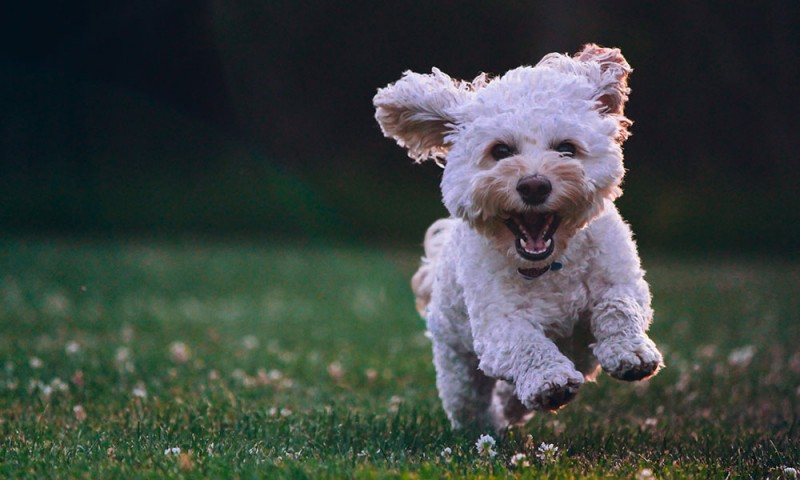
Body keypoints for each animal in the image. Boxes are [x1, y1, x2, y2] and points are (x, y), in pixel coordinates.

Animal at [374, 43, 664, 430]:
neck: (551, 266)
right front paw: (549, 381)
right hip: (456, 361)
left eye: (567, 149)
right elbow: (526, 343)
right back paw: (489, 424)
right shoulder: (498, 324)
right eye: (500, 151)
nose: (534, 185)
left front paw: (631, 352)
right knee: (469, 400)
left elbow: (618, 306)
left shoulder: (622, 279)